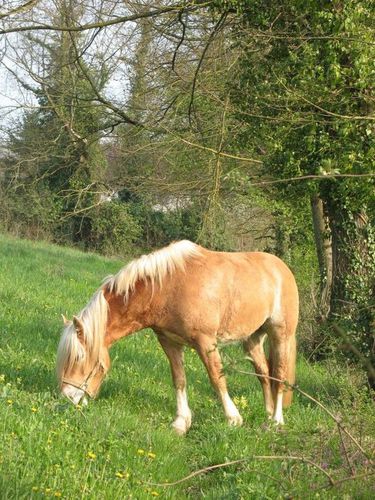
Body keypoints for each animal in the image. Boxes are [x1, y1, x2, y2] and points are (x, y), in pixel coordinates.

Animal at [57, 241, 300, 434]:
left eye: (78, 358)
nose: (67, 397)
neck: (167, 287)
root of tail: (282, 268)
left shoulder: (206, 342)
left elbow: (216, 378)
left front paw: (233, 419)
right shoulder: (170, 342)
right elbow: (179, 380)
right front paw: (181, 423)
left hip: (281, 335)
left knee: (280, 375)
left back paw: (276, 421)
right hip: (251, 340)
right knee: (264, 374)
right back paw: (267, 414)